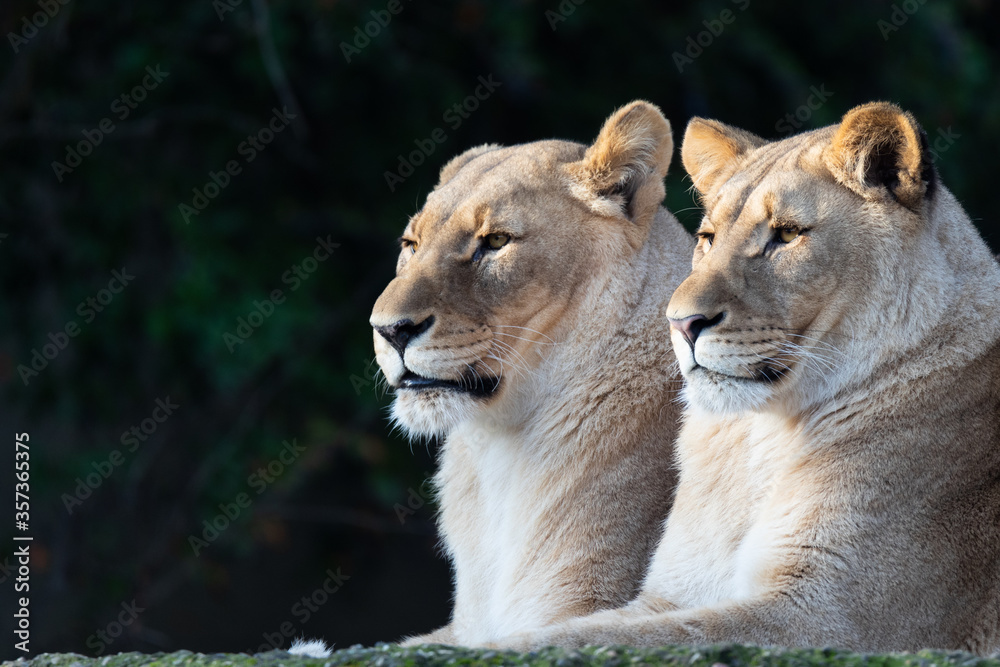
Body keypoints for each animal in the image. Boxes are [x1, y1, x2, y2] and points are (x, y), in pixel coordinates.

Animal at [368, 101, 695, 646]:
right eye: (411, 243)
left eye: (496, 241)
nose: (389, 330)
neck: (501, 448)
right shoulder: (466, 627)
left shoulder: (587, 604)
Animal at [491, 102, 1000, 654]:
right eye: (708, 239)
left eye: (788, 234)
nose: (680, 323)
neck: (755, 442)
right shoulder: (671, 593)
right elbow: (587, 628)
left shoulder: (832, 620)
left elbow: (601, 637)